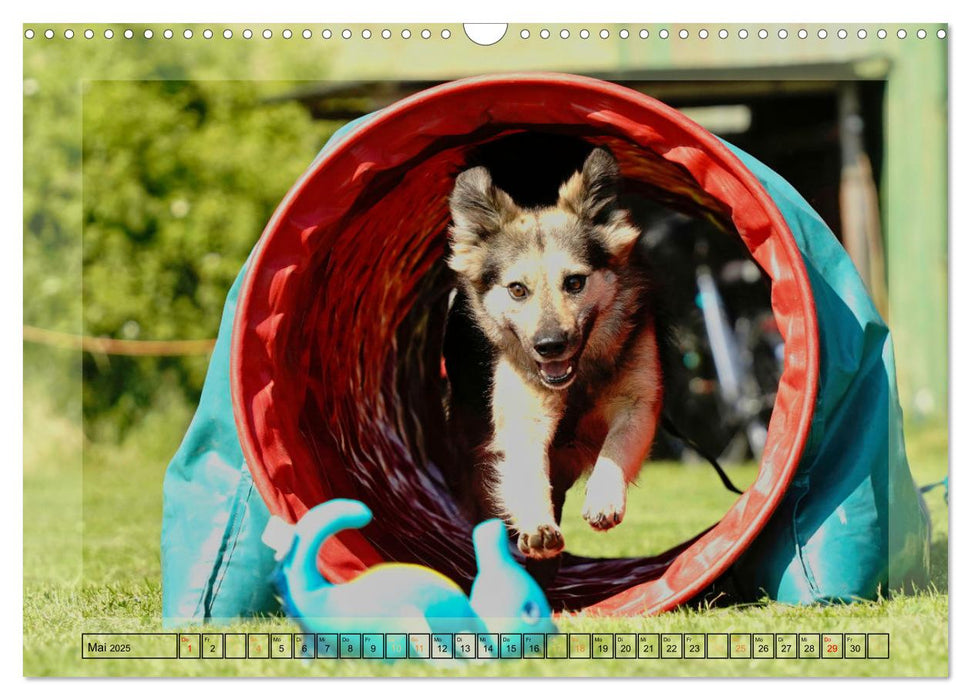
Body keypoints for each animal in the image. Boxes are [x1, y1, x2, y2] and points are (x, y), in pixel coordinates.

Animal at [444, 146, 664, 556]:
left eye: (575, 282)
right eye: (517, 290)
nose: (549, 347)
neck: (578, 378)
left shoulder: (637, 402)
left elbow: (617, 446)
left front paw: (604, 497)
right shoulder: (524, 414)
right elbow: (528, 469)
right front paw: (536, 524)